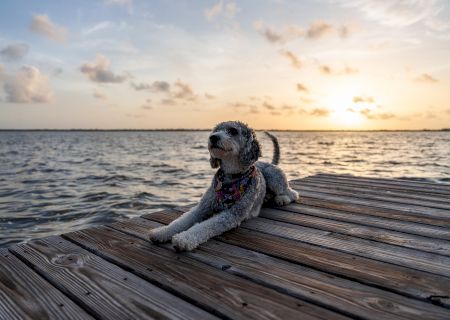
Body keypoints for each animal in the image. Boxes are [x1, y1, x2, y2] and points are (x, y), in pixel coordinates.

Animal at [148, 121, 298, 251]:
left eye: (233, 131)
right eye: (216, 130)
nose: (213, 137)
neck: (230, 178)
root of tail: (270, 163)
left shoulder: (231, 215)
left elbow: (204, 226)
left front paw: (184, 239)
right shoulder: (202, 207)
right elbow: (181, 221)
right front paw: (161, 232)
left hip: (274, 177)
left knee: (292, 193)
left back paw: (282, 199)